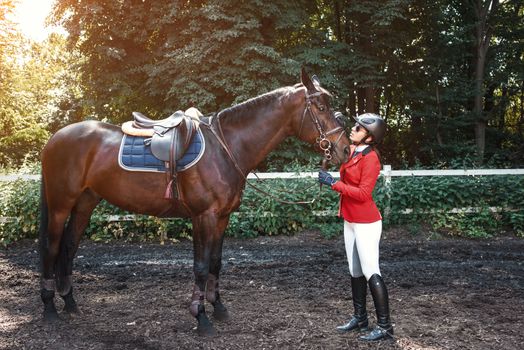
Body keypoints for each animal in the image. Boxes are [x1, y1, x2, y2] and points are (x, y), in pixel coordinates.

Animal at [40, 67, 352, 334]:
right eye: (320, 107)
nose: (346, 150)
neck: (226, 148)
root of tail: (55, 138)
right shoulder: (205, 215)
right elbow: (200, 266)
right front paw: (201, 318)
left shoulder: (222, 216)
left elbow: (215, 262)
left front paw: (219, 309)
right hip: (60, 205)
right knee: (52, 248)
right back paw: (49, 308)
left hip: (85, 203)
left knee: (68, 248)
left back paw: (70, 304)